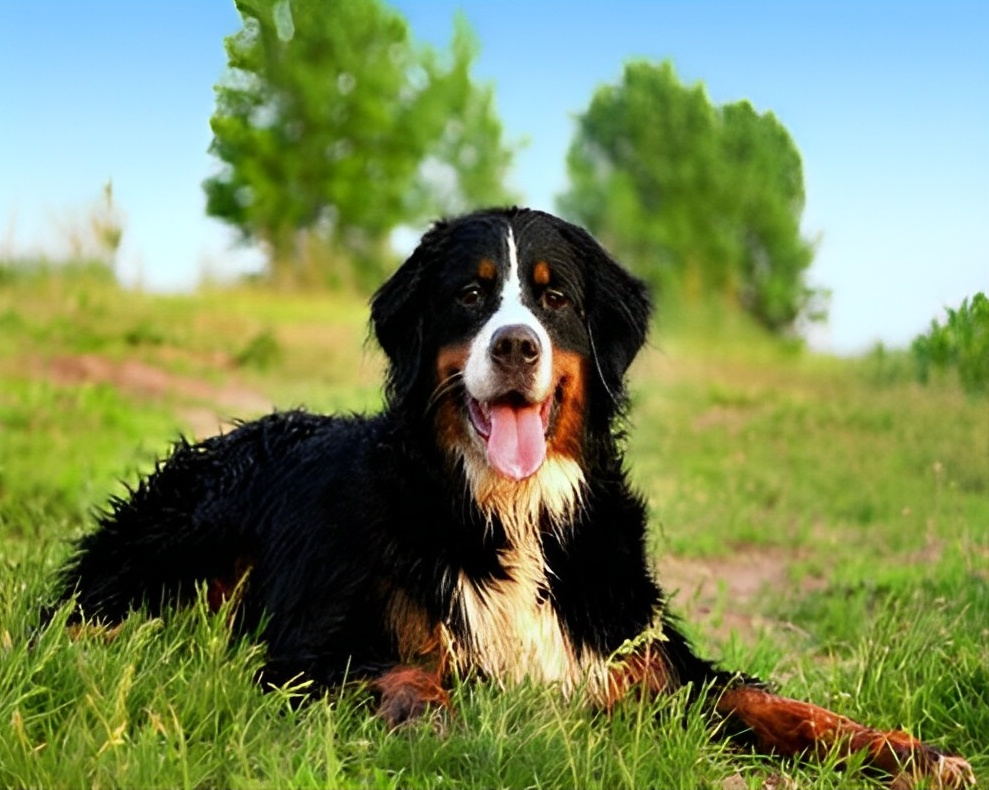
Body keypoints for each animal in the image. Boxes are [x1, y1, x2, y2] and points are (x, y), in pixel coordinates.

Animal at [56, 207, 972, 788]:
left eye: (553, 296)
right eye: (470, 293)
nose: (516, 345)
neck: (512, 509)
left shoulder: (642, 655)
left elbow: (776, 702)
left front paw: (911, 754)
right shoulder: (305, 649)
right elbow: (405, 674)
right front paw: (436, 728)